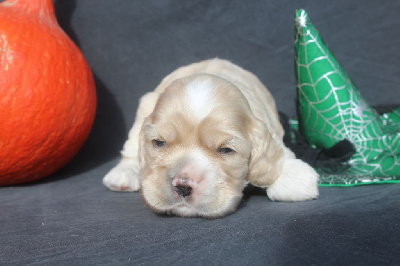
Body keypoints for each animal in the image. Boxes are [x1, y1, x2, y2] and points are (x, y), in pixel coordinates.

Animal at [103, 58, 318, 218]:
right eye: (160, 143)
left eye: (225, 150)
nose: (182, 185)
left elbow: (281, 152)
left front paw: (295, 179)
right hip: (144, 106)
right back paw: (122, 175)